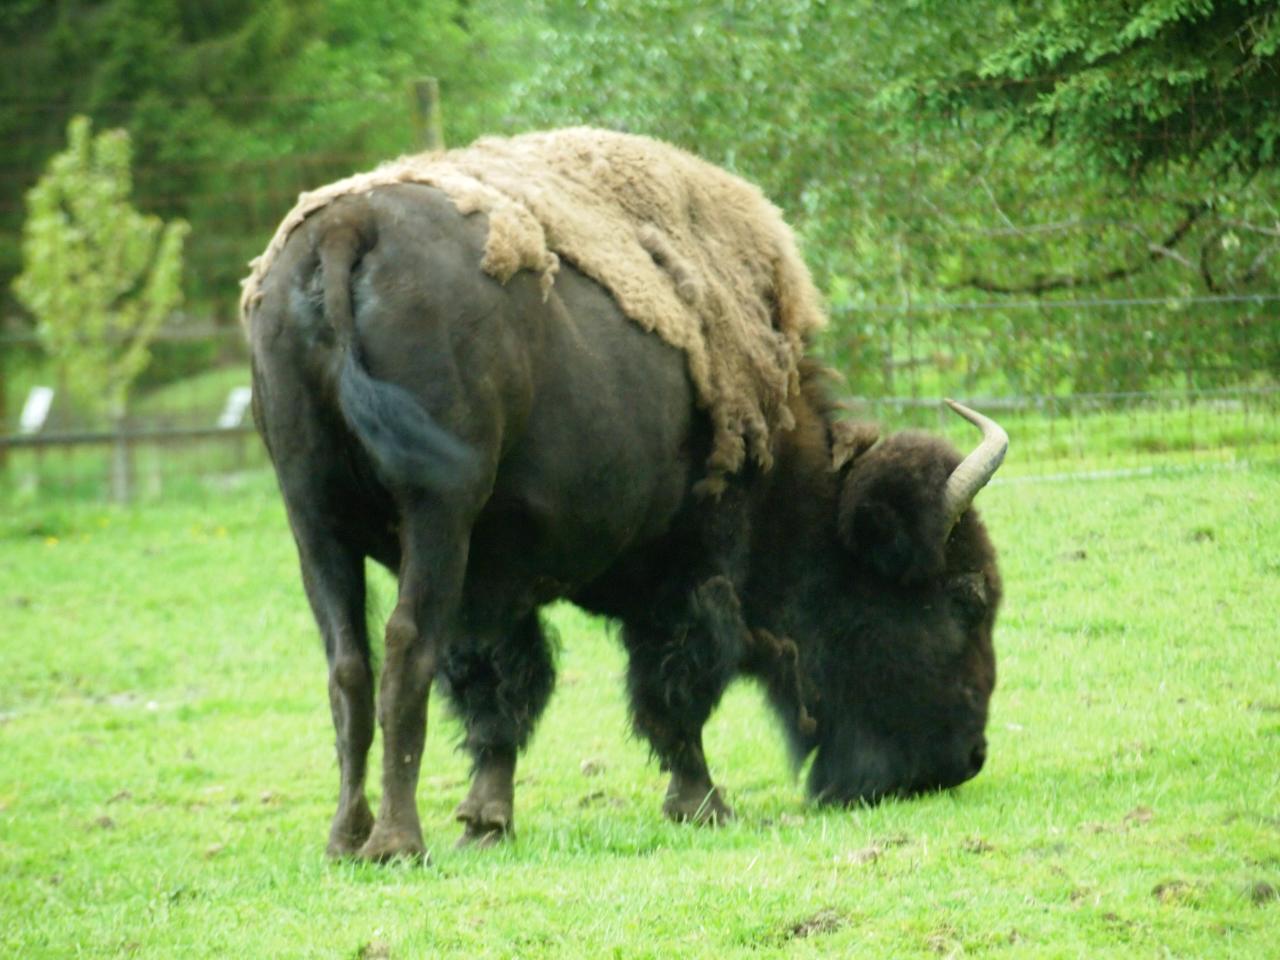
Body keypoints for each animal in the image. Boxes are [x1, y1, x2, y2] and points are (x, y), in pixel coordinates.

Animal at [249, 180, 1003, 865]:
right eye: (962, 600)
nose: (966, 758)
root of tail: (348, 228)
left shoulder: (494, 580)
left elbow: (501, 691)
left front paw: (486, 821)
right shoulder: (689, 565)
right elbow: (674, 685)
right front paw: (703, 804)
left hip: (314, 521)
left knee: (349, 667)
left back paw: (346, 840)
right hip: (433, 513)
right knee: (406, 650)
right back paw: (398, 843)